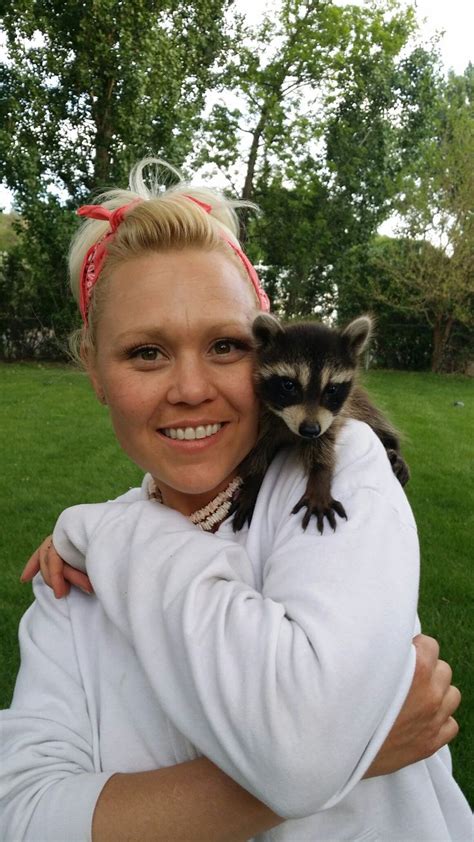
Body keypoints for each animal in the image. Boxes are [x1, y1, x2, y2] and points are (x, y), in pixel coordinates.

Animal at [231, 312, 410, 536]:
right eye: (289, 385)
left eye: (332, 389)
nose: (309, 430)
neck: (288, 426)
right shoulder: (263, 416)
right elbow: (259, 450)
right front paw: (253, 481)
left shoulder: (331, 417)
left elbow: (323, 444)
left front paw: (320, 476)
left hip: (358, 401)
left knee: (375, 418)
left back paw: (393, 448)